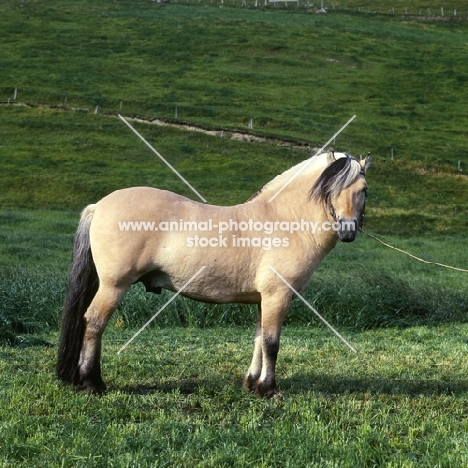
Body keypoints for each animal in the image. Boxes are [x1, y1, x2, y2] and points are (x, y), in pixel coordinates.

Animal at [56, 151, 370, 398]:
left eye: (364, 189)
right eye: (333, 187)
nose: (348, 230)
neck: (283, 220)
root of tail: (99, 205)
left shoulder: (263, 300)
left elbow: (259, 340)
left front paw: (251, 384)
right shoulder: (277, 297)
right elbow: (271, 343)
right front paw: (269, 389)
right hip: (113, 286)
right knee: (94, 323)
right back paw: (91, 383)